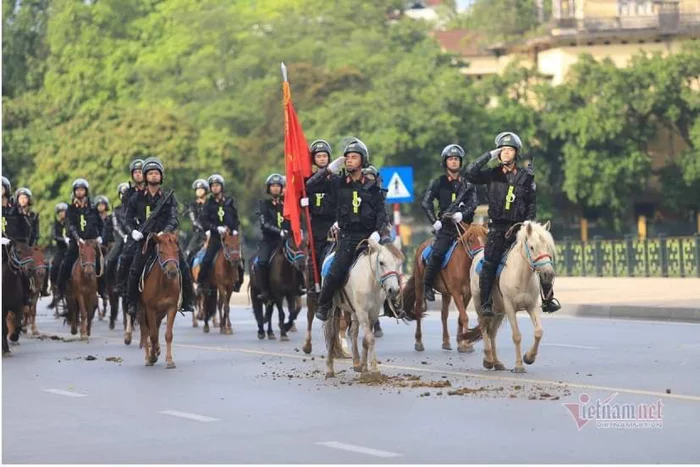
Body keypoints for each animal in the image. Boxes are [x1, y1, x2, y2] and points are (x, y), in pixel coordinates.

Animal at [131, 233, 180, 370]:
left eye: (177, 251)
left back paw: (157, 350)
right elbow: (151, 335)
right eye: (161, 252)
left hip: (160, 313)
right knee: (145, 331)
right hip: (141, 311)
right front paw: (152, 357)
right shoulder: (150, 309)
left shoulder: (171, 307)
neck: (163, 285)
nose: (172, 272)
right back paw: (148, 357)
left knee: (155, 329)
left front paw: (169, 360)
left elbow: (168, 335)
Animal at [324, 238, 402, 380]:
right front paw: (375, 370)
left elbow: (366, 339)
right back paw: (329, 369)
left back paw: (356, 362)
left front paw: (365, 369)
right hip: (333, 308)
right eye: (381, 262)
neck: (371, 281)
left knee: (353, 332)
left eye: (399, 263)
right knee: (331, 335)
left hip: (354, 311)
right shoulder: (362, 312)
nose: (393, 290)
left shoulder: (373, 313)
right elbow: (370, 338)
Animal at [400, 221, 486, 352]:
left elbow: (460, 317)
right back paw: (419, 342)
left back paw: (446, 341)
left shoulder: (468, 294)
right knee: (419, 310)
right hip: (419, 286)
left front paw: (462, 342)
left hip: (446, 293)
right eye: (471, 240)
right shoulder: (456, 293)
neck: (463, 265)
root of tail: (422, 246)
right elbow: (464, 317)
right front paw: (465, 343)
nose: (481, 257)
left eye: (486, 238)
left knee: (444, 314)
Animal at [462, 221, 556, 374]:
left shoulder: (532, 305)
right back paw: (488, 360)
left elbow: (538, 332)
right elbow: (516, 336)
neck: (521, 276)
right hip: (480, 305)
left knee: (492, 333)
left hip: (499, 311)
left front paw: (529, 357)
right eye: (532, 247)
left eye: (548, 246)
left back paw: (497, 363)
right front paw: (519, 365)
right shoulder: (510, 306)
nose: (548, 273)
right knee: (483, 327)